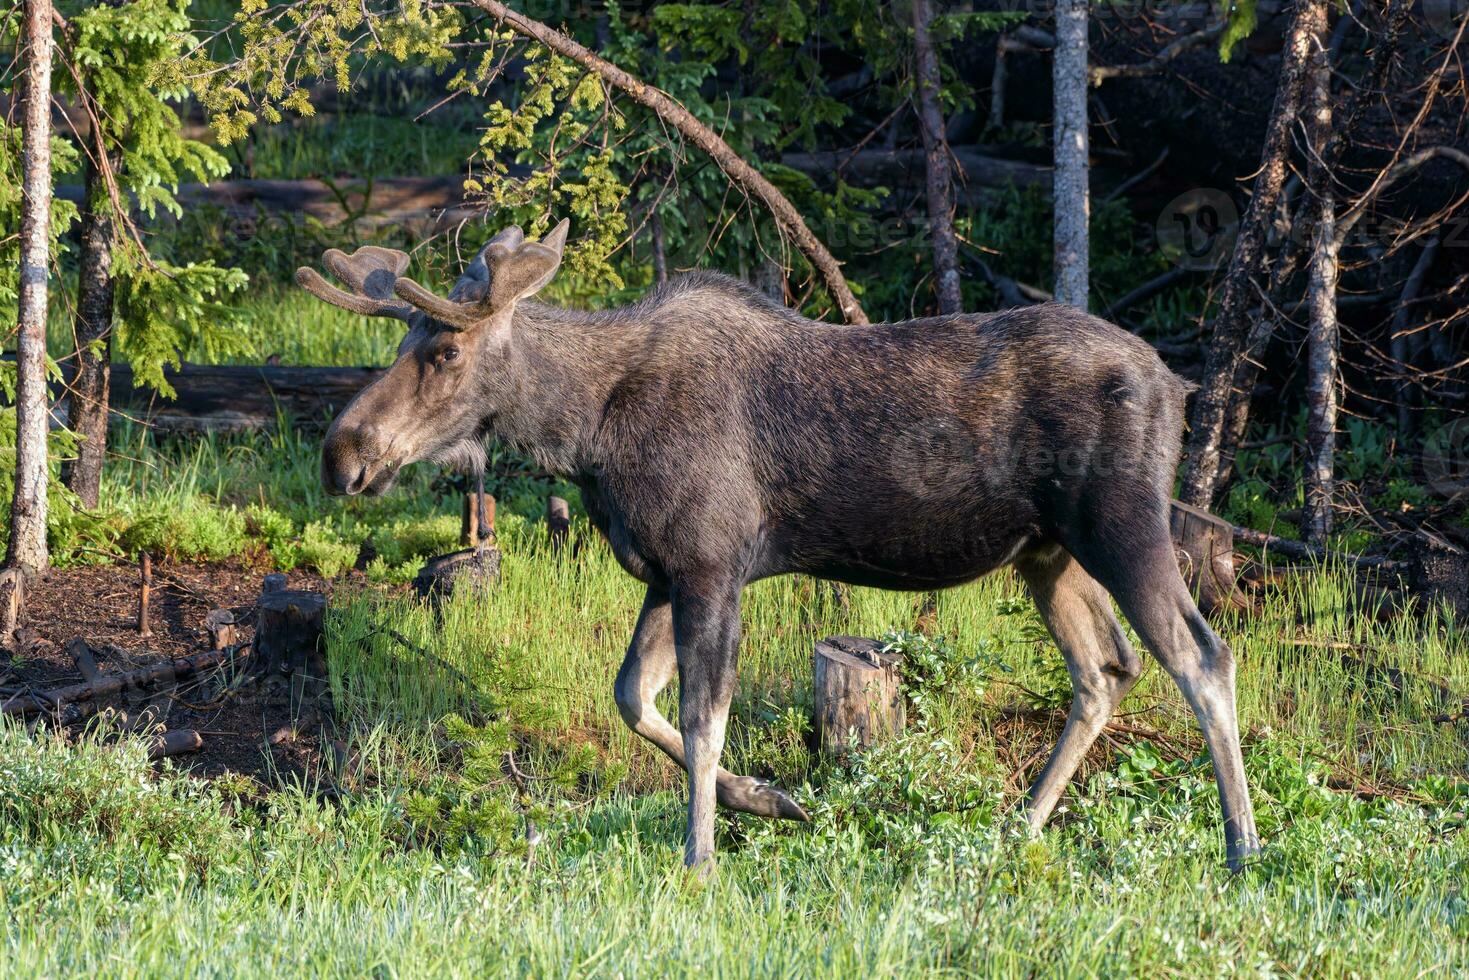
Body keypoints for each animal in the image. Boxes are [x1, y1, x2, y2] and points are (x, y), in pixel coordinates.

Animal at [298, 220, 1263, 875]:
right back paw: (1016, 828)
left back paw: (1241, 845)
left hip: (1122, 521)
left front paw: (700, 859)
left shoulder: (712, 563)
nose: (342, 454)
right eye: (403, 339)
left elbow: (701, 714)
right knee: (1105, 669)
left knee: (1201, 656)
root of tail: (1174, 383)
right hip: (1046, 551)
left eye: (445, 350)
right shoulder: (667, 570)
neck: (588, 435)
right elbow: (632, 697)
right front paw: (769, 801)